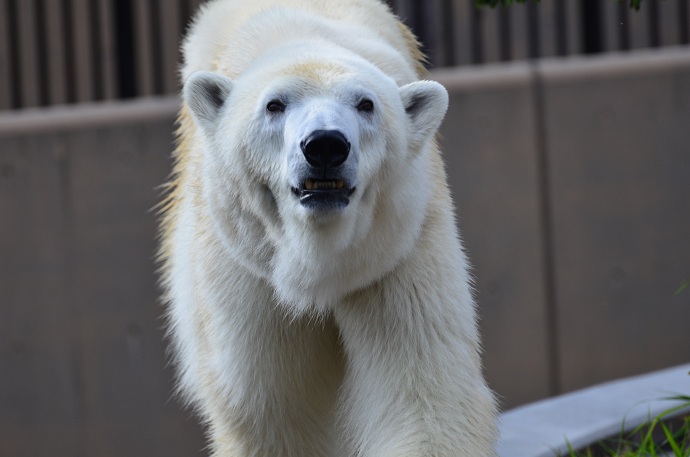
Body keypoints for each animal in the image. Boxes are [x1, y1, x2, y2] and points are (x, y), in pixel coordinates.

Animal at [157, 0, 494, 454]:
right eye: (274, 104)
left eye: (366, 104)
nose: (325, 146)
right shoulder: (247, 273)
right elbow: (275, 411)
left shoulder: (398, 254)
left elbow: (425, 390)